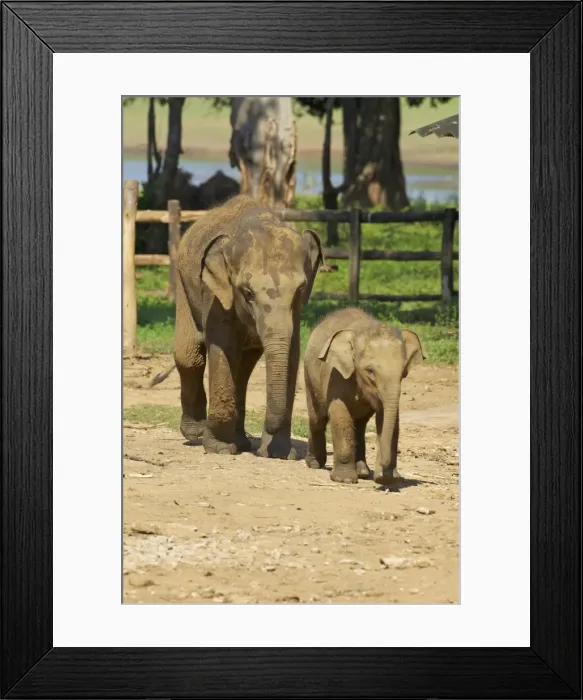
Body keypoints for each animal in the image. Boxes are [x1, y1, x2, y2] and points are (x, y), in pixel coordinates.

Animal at [175, 194, 323, 459]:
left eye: (300, 290)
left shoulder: (294, 314)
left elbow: (292, 354)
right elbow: (222, 348)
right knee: (189, 354)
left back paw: (241, 442)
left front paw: (279, 454)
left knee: (243, 371)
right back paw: (196, 433)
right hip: (182, 282)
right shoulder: (215, 295)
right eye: (247, 292)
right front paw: (220, 449)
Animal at [303, 308, 425, 485]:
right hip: (309, 375)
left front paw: (388, 478)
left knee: (360, 424)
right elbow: (340, 414)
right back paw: (314, 464)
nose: (383, 474)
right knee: (317, 418)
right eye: (370, 371)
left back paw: (363, 472)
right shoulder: (335, 374)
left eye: (403, 372)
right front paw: (344, 480)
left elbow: (387, 418)